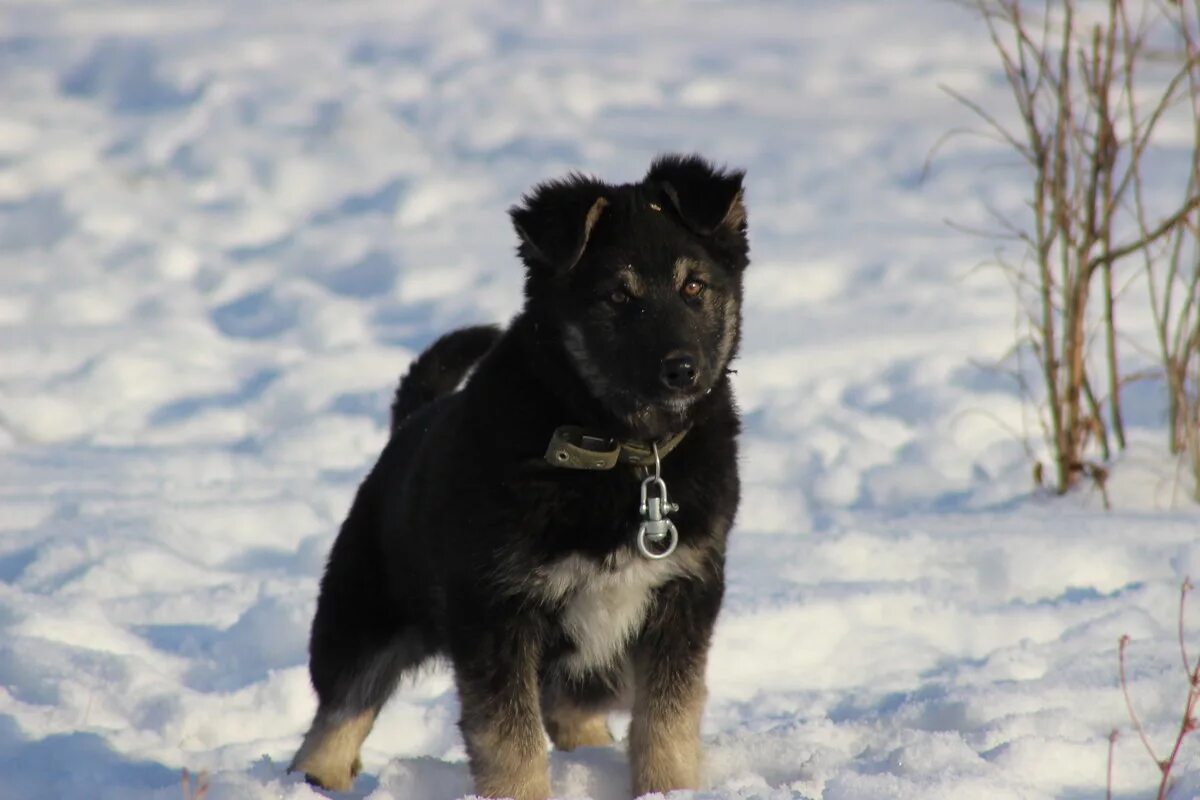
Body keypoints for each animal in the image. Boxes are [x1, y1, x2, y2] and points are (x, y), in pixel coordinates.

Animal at [286, 153, 744, 796]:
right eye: (616, 297)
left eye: (694, 286)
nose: (682, 370)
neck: (619, 452)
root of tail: (409, 425)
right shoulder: (494, 611)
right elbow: (509, 737)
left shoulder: (684, 594)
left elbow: (668, 719)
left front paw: (667, 789)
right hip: (364, 615)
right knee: (336, 715)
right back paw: (313, 780)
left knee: (573, 712)